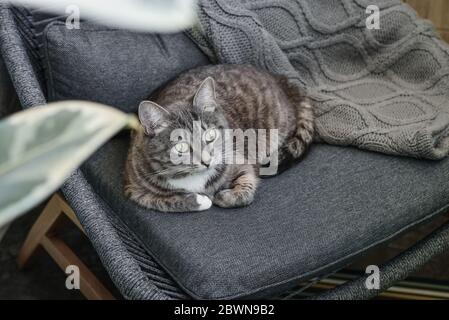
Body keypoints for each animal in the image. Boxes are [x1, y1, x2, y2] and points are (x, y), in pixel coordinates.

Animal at [122, 63, 312, 211]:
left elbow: (246, 188)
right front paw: (199, 200)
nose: (207, 161)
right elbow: (163, 202)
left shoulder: (239, 160)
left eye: (210, 135)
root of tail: (280, 79)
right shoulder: (134, 190)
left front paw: (222, 196)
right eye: (181, 146)